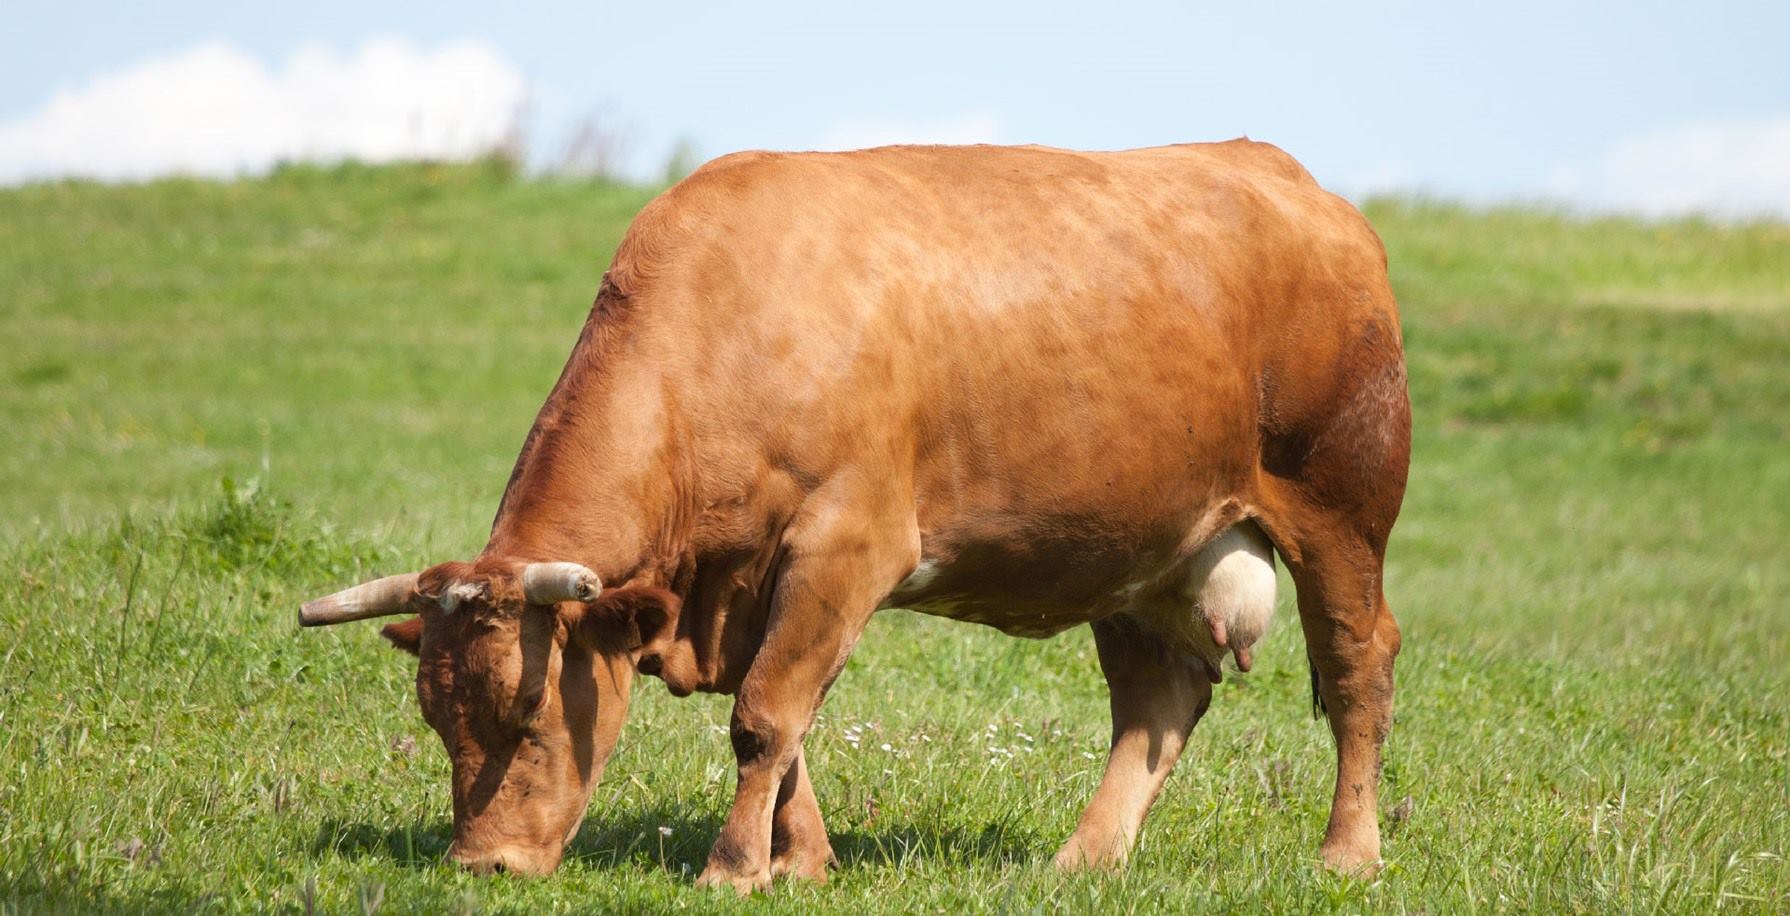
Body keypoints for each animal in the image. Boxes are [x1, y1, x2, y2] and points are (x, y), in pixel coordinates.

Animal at [297, 139, 1410, 890]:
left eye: (528, 717)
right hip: (1139, 547)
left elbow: (763, 714)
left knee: (1358, 665)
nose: (480, 866)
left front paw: (732, 867)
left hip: (1339, 509)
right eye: (435, 717)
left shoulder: (848, 544)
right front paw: (802, 861)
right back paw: (1081, 860)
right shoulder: (749, 584)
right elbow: (783, 723)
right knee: (1157, 702)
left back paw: (1346, 854)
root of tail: (1287, 177)